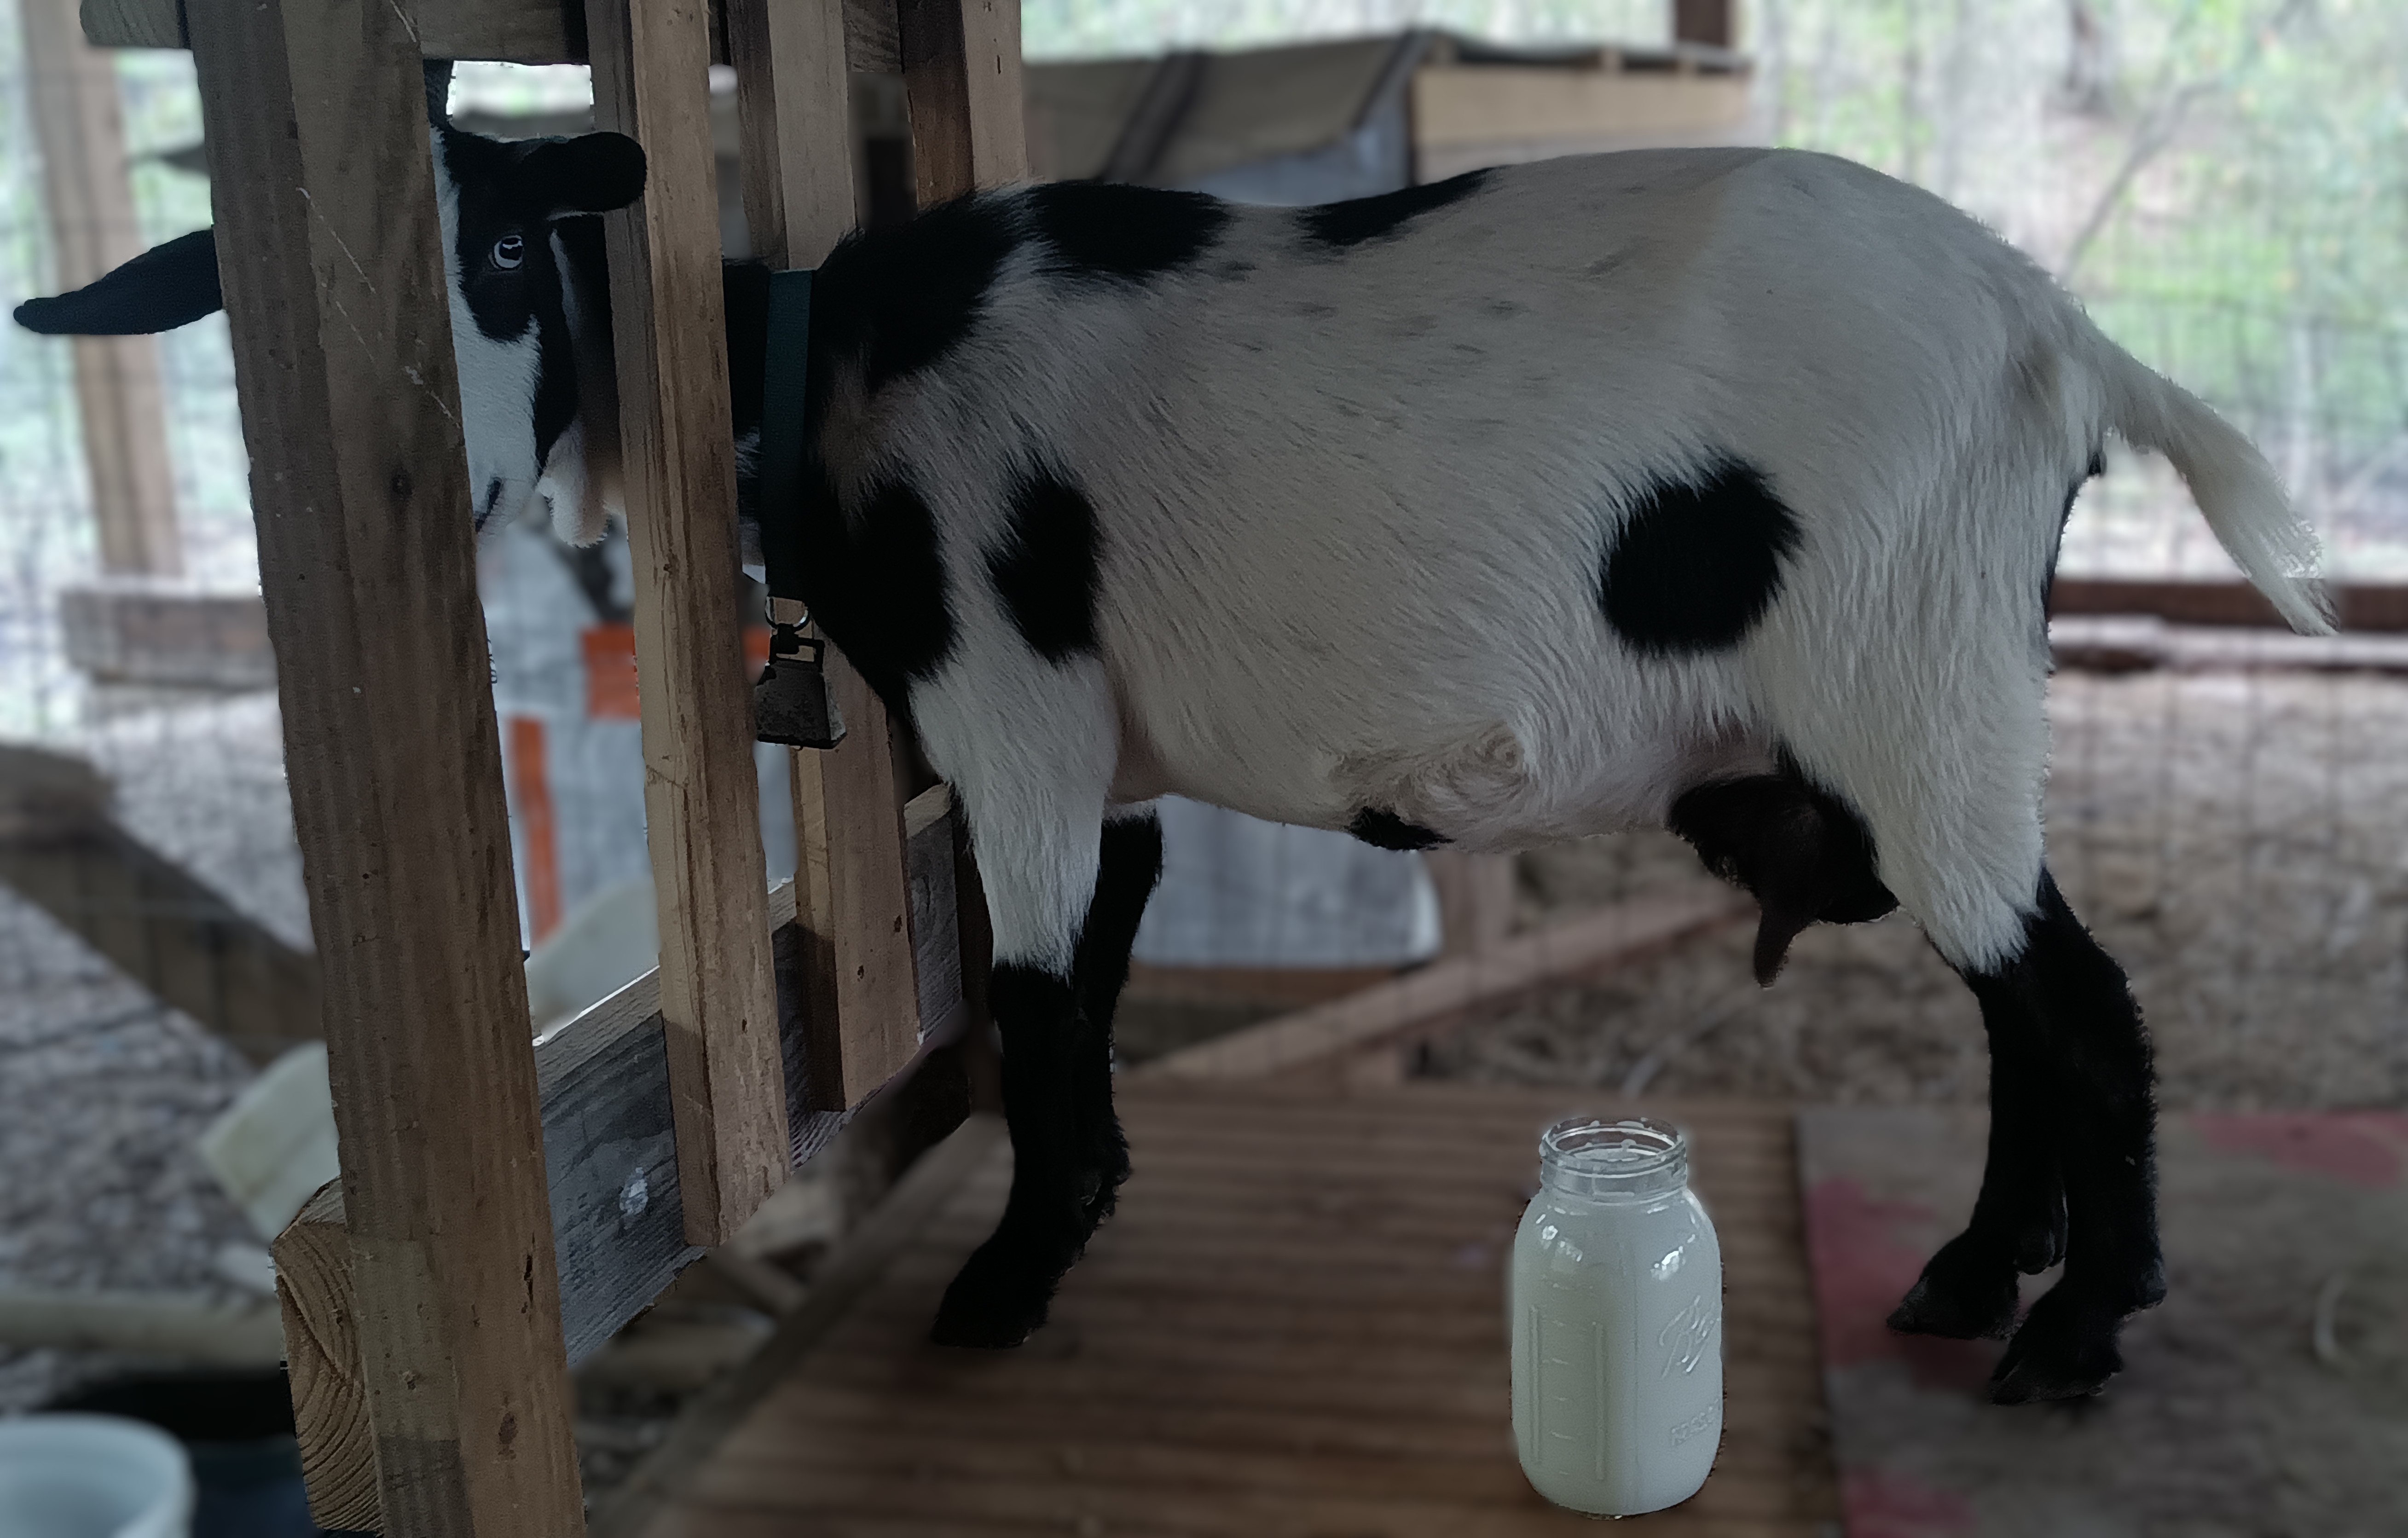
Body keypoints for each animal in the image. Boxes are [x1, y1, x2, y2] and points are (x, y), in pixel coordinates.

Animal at [21, 125, 2331, 1403]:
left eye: (502, 251)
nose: (459, 478)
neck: (830, 369)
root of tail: (2069, 341)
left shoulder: (1010, 696)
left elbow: (1039, 988)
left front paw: (1004, 1278)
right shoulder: (1096, 748)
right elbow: (1109, 951)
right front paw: (1083, 1214)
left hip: (1901, 666)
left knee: (2075, 1003)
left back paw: (2068, 1331)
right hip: (1934, 695)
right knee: (2018, 1003)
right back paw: (1969, 1274)